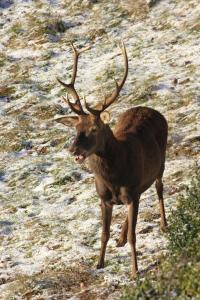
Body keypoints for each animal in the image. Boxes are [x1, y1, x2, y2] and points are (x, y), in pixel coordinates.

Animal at [54, 41, 168, 276]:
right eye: (76, 128)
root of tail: (150, 108)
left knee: (159, 188)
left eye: (94, 128)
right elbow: (103, 234)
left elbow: (135, 236)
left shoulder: (131, 193)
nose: (73, 149)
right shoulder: (104, 198)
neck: (114, 178)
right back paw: (120, 239)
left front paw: (134, 271)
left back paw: (163, 224)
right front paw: (99, 263)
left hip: (161, 162)